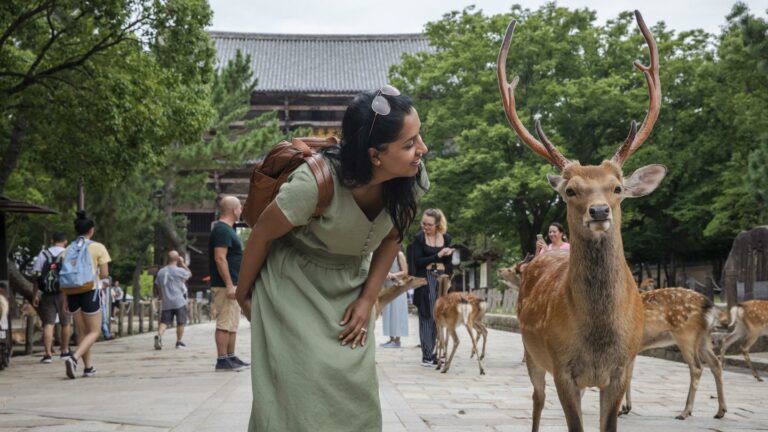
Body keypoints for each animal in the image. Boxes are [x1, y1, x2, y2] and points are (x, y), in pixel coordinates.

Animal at [498, 10, 664, 432]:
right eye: (570, 190)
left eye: (617, 187)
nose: (599, 211)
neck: (598, 340)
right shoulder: (562, 368)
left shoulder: (620, 370)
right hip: (531, 352)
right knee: (536, 400)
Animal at [624, 288, 728, 420]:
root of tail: (709, 305)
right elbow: (628, 375)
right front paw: (625, 408)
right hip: (703, 339)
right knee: (715, 363)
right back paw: (720, 411)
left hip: (686, 335)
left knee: (697, 367)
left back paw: (685, 412)